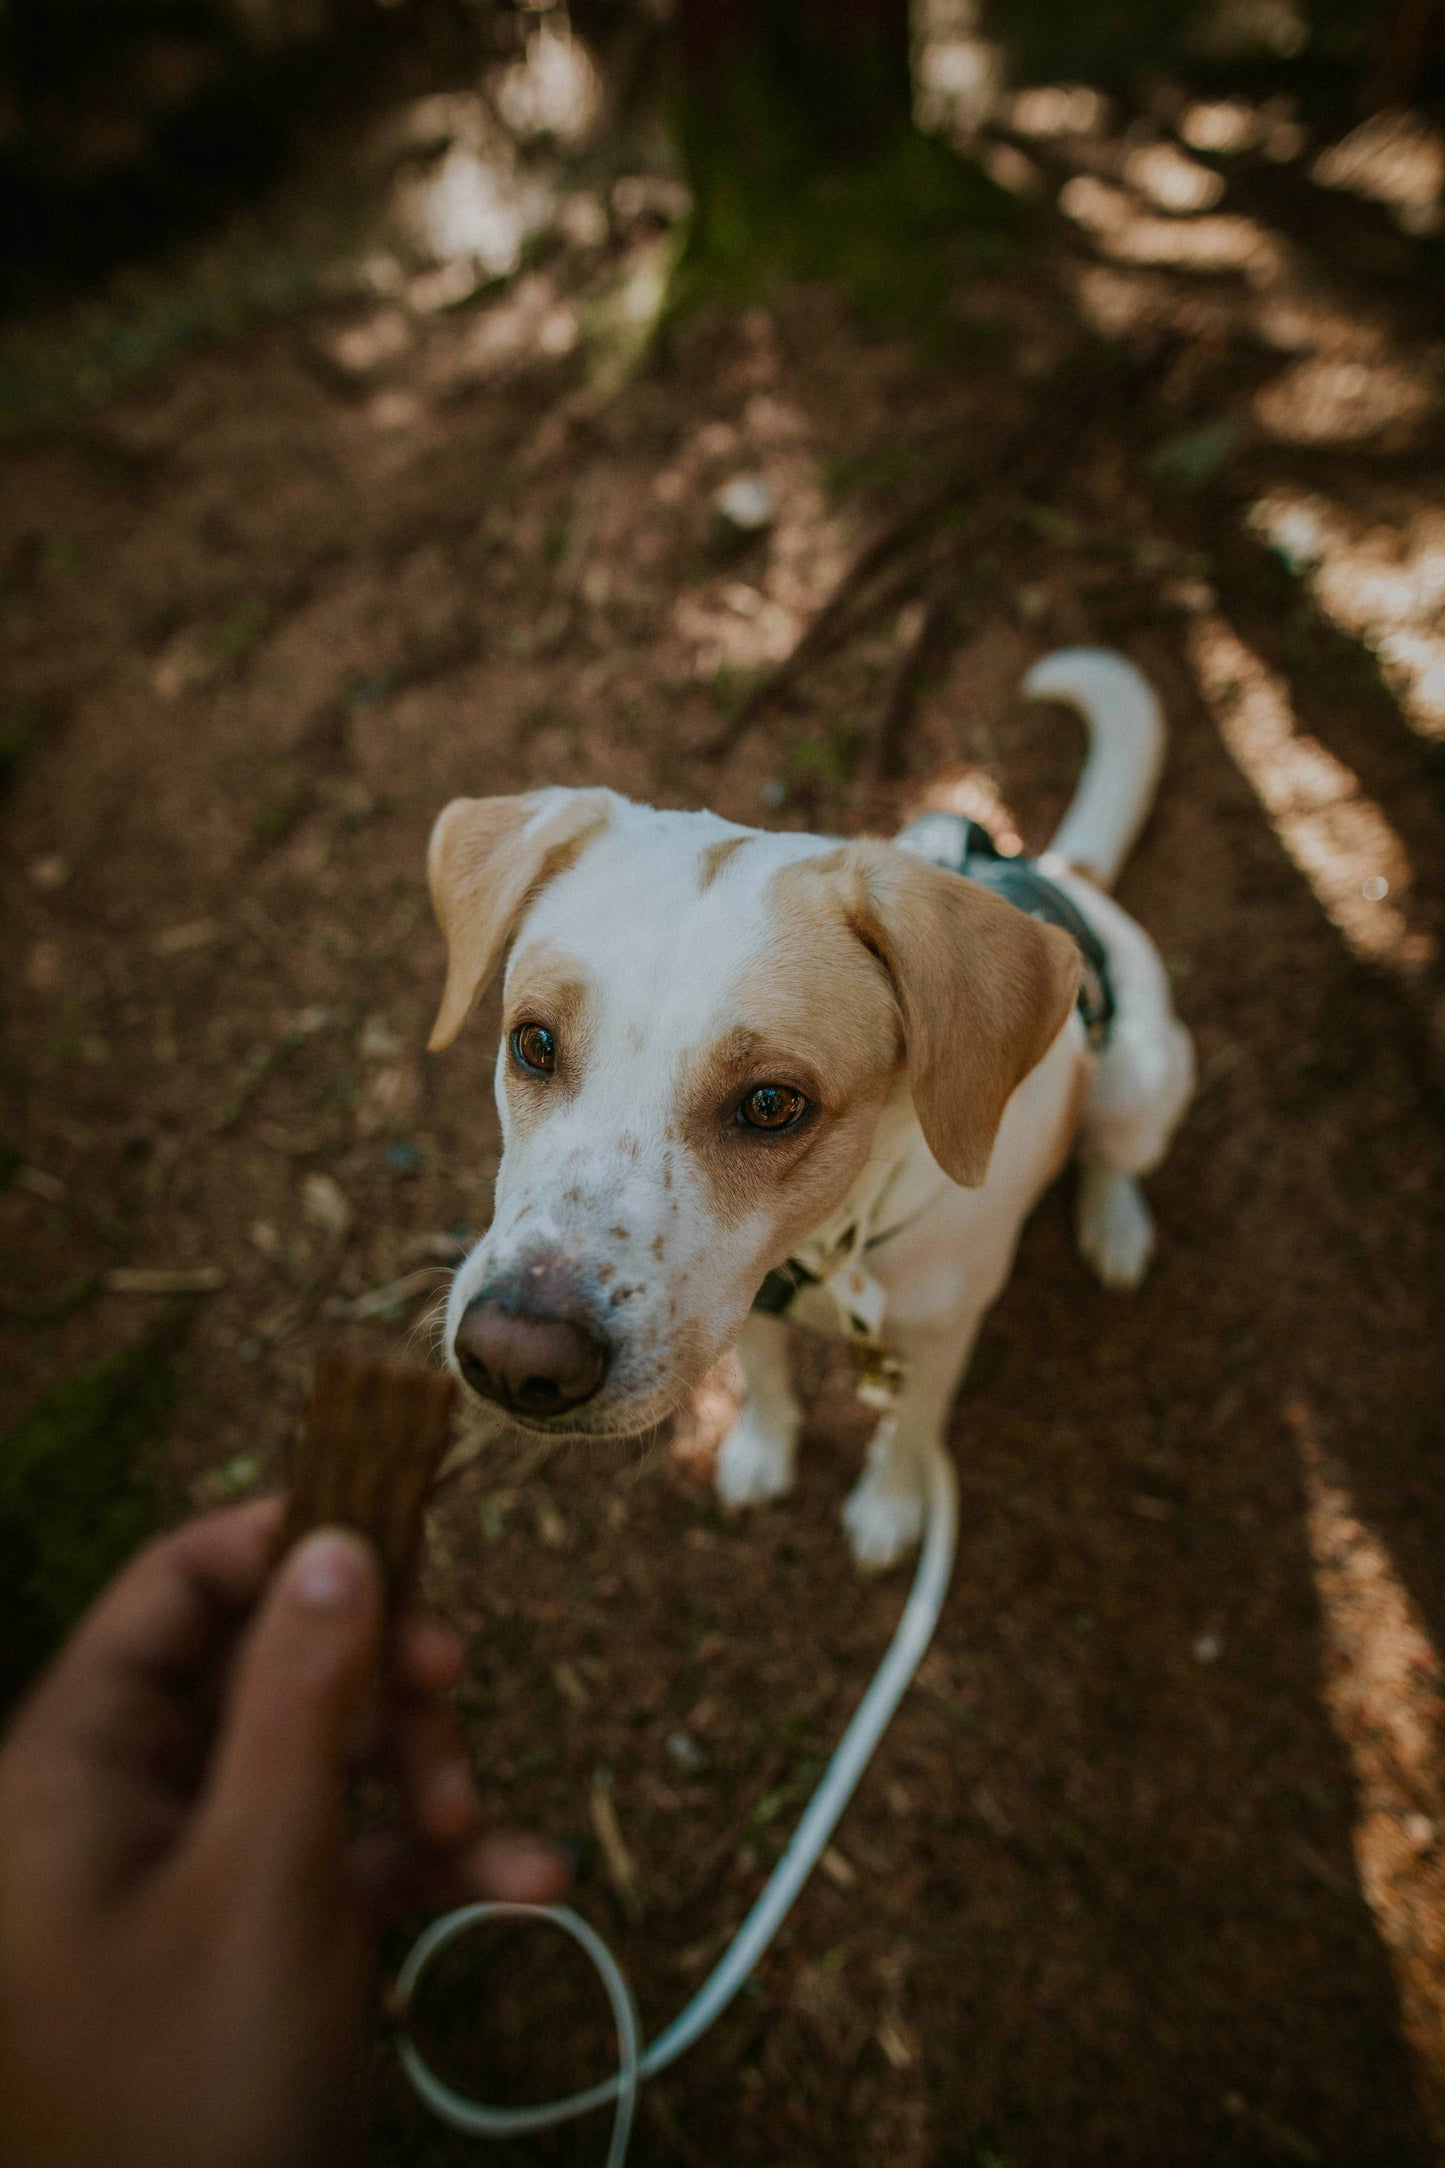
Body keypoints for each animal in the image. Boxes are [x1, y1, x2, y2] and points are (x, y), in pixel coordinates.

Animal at [433, 650, 1195, 1569]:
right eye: (534, 1043)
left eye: (771, 1103)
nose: (514, 1360)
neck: (828, 1254)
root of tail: (1061, 873)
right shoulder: (745, 1303)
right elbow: (766, 1383)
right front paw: (761, 1453)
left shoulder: (938, 1338)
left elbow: (911, 1431)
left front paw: (890, 1509)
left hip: (1142, 1087)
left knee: (1114, 1156)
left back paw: (1115, 1226)